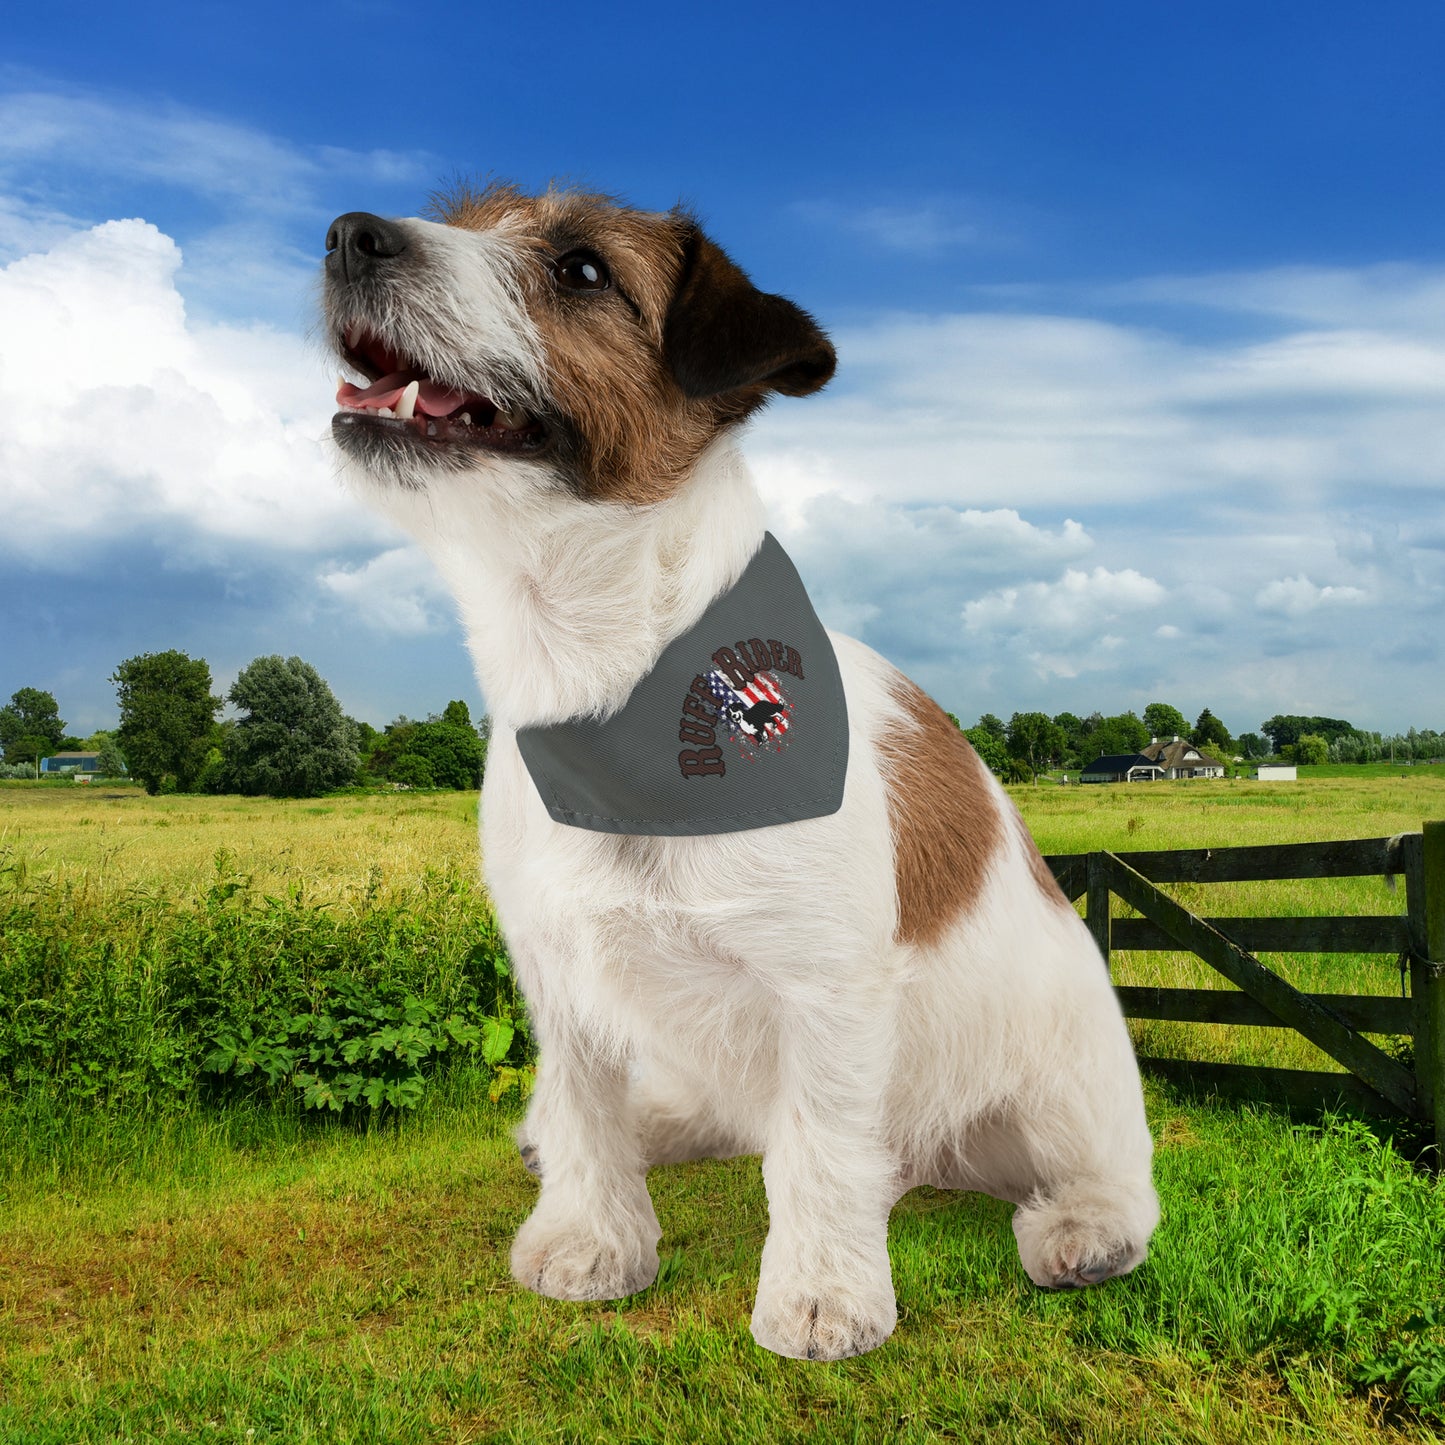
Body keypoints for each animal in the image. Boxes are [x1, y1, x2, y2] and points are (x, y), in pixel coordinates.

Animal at [322, 186, 1156, 1358]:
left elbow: (817, 1149)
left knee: (1101, 1172)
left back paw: (1081, 1224)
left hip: (1061, 1075)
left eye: (582, 270)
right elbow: (585, 1111)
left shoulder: (823, 989)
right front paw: (592, 1242)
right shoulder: (560, 977)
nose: (349, 235)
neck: (607, 686)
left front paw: (820, 1295)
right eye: (462, 215)